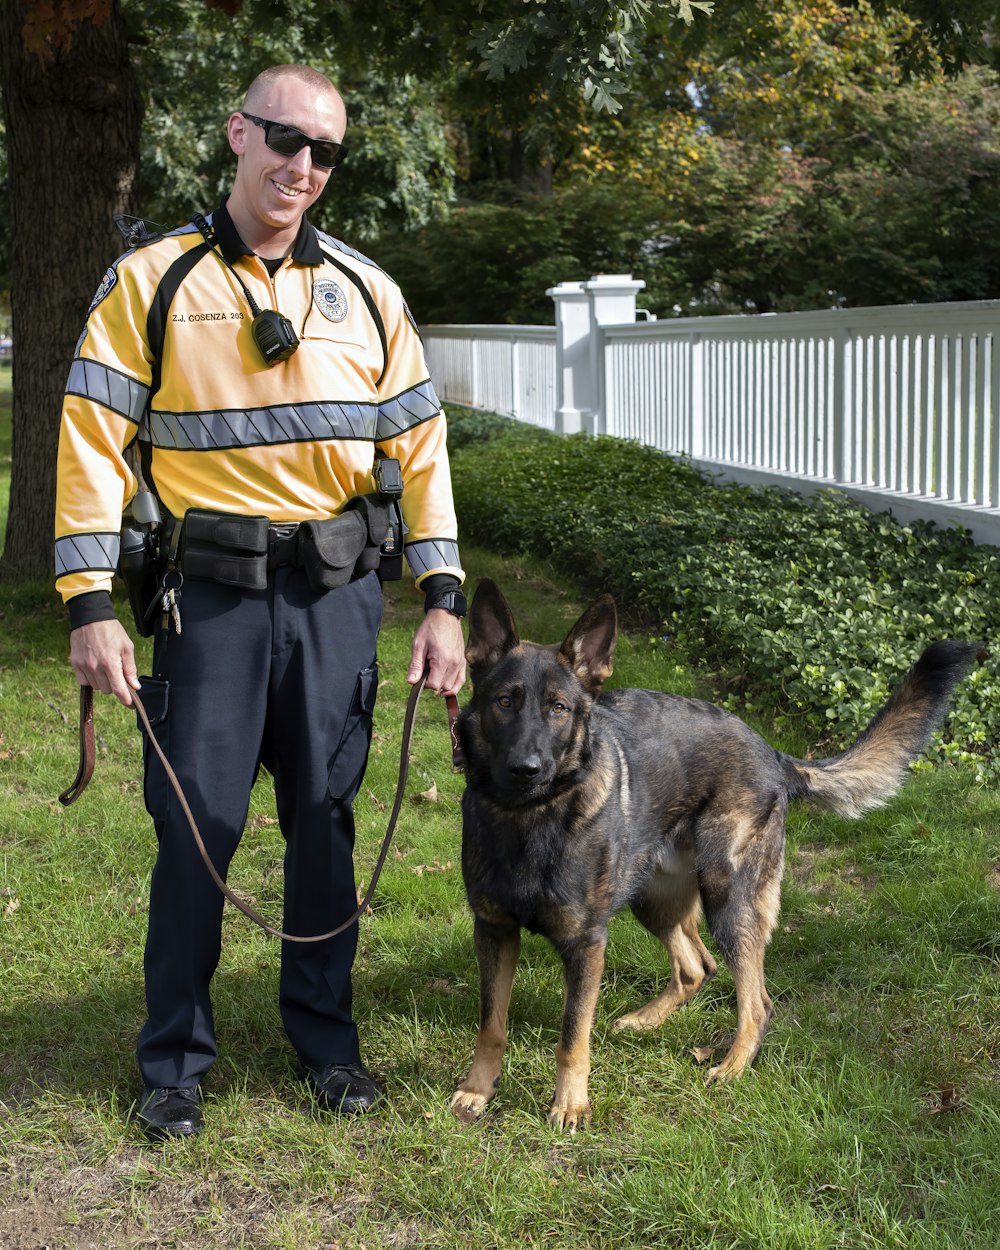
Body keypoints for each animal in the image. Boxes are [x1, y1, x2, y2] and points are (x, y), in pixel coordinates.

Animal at [450, 580, 975, 1130]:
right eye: (504, 702)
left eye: (558, 708)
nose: (526, 769)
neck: (528, 818)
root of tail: (774, 753)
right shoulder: (494, 932)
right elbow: (492, 1025)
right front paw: (478, 1089)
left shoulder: (586, 945)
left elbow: (573, 1036)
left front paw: (570, 1105)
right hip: (653, 899)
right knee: (696, 967)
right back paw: (646, 1021)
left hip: (727, 896)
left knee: (757, 1001)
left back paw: (733, 1066)